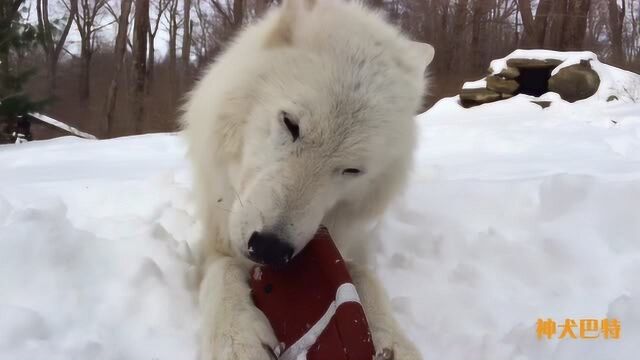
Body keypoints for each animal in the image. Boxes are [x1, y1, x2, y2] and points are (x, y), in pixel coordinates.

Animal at [180, 1, 436, 358]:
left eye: (352, 171)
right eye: (291, 124)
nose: (270, 249)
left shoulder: (346, 238)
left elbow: (363, 272)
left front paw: (393, 339)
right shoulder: (218, 236)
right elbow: (222, 270)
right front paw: (237, 337)